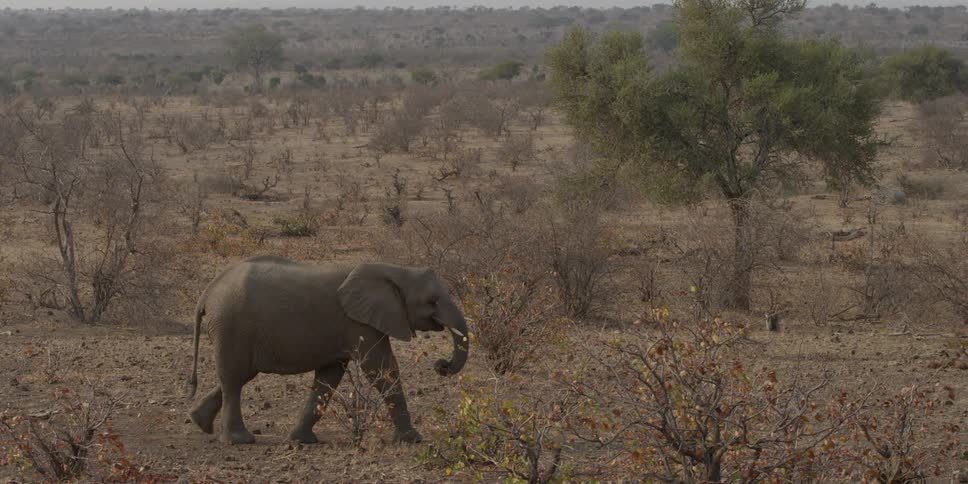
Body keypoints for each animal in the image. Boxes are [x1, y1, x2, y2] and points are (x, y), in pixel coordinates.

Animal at [187, 255, 469, 445]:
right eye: (432, 301)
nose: (442, 364)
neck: (394, 270)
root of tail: (207, 292)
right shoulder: (359, 322)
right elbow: (380, 368)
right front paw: (412, 439)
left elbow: (329, 377)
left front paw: (301, 440)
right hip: (231, 323)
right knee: (234, 379)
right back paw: (239, 440)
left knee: (239, 375)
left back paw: (200, 422)